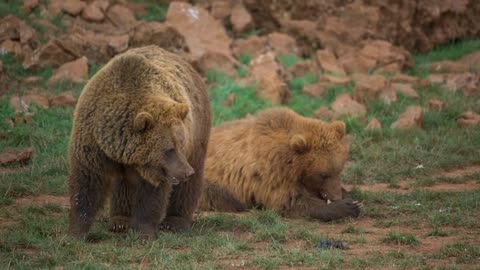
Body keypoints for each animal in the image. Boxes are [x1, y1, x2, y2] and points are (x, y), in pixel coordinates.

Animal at [68, 46, 211, 238]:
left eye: (181, 145)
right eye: (169, 149)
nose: (187, 171)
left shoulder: (157, 168)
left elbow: (150, 195)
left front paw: (144, 232)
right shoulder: (92, 144)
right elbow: (86, 185)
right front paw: (75, 233)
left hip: (198, 131)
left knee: (187, 187)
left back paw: (175, 222)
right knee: (122, 184)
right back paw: (120, 220)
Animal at [199, 107, 360, 221]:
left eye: (339, 170)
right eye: (323, 174)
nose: (336, 196)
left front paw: (349, 197)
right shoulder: (272, 173)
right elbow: (291, 202)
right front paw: (348, 206)